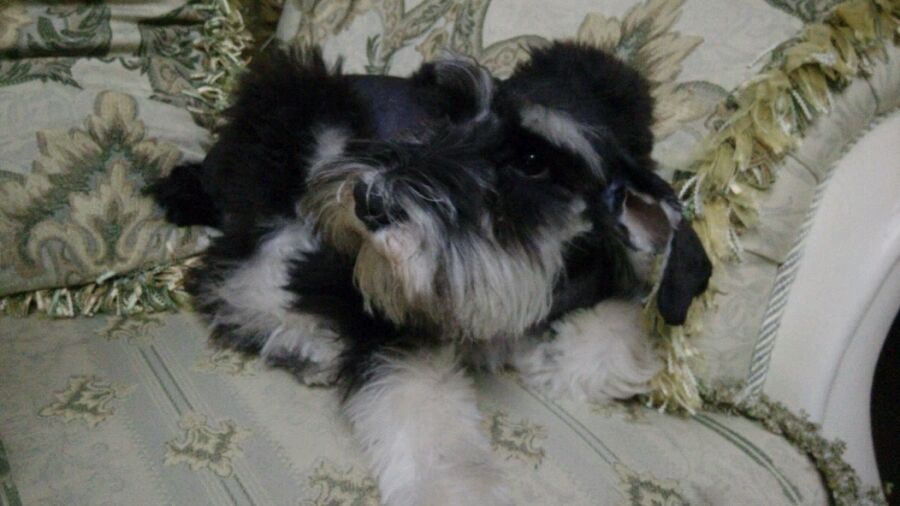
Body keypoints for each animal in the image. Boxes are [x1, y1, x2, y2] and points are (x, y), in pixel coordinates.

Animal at [149, 41, 712, 506]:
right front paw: (455, 487)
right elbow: (420, 395)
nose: (368, 200)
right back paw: (301, 340)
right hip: (308, 119)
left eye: (533, 159)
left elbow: (618, 339)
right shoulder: (378, 305)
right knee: (234, 266)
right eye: (449, 116)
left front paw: (550, 353)